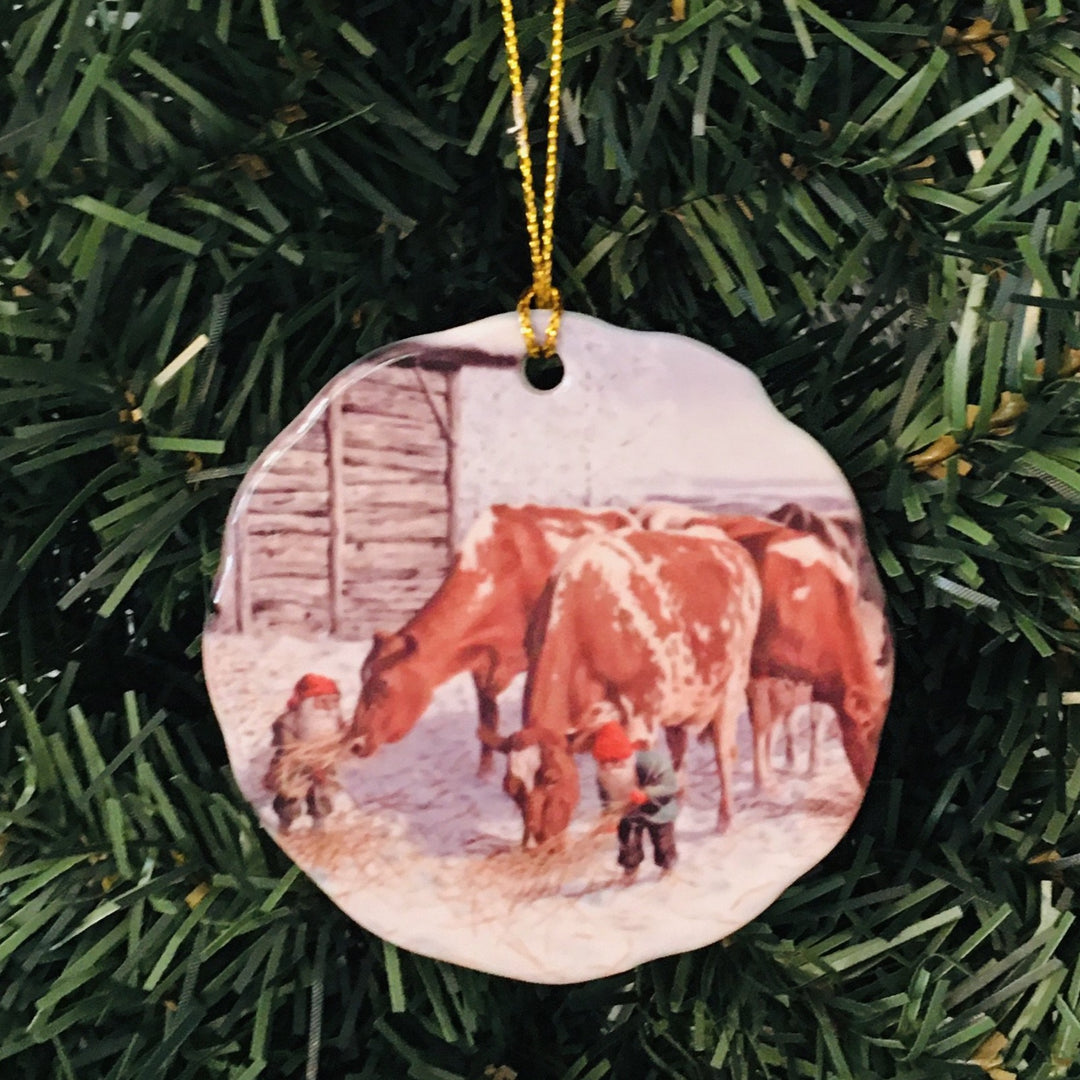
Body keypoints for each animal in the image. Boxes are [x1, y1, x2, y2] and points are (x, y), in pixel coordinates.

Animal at [345, 501, 630, 773]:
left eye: (383, 684)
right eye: (362, 678)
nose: (354, 743)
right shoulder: (481, 665)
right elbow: (487, 724)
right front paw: (483, 776)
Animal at [486, 522, 764, 842]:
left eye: (553, 779)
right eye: (510, 788)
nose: (536, 844)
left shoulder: (641, 717)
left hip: (731, 688)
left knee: (723, 753)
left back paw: (725, 820)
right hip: (679, 702)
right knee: (679, 752)